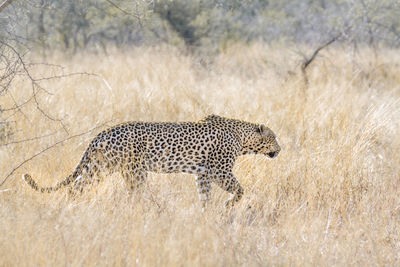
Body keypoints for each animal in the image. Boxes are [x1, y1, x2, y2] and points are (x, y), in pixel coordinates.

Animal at [21, 114, 278, 207]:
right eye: (274, 137)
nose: (280, 149)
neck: (243, 138)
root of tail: (103, 132)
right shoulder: (219, 172)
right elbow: (240, 189)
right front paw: (228, 205)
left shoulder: (203, 173)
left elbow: (204, 195)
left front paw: (207, 213)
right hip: (132, 171)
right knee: (135, 193)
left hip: (100, 166)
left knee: (76, 185)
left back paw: (70, 206)